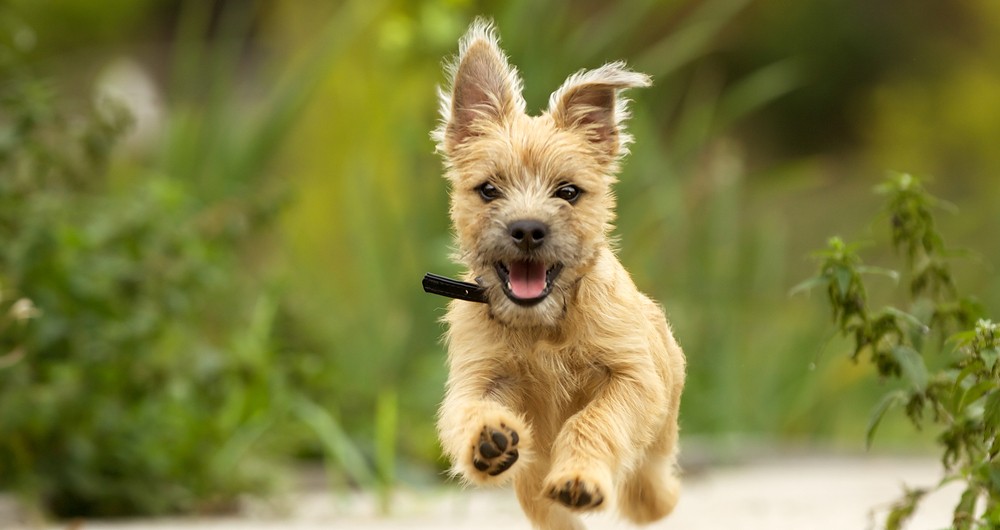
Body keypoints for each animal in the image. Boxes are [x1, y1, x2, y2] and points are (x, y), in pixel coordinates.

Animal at [430, 18, 688, 524]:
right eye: (488, 190)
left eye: (568, 192)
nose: (528, 229)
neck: (542, 327)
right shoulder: (477, 376)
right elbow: (467, 410)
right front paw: (488, 439)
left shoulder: (632, 378)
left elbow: (593, 420)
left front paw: (580, 478)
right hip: (532, 489)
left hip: (658, 434)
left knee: (649, 488)